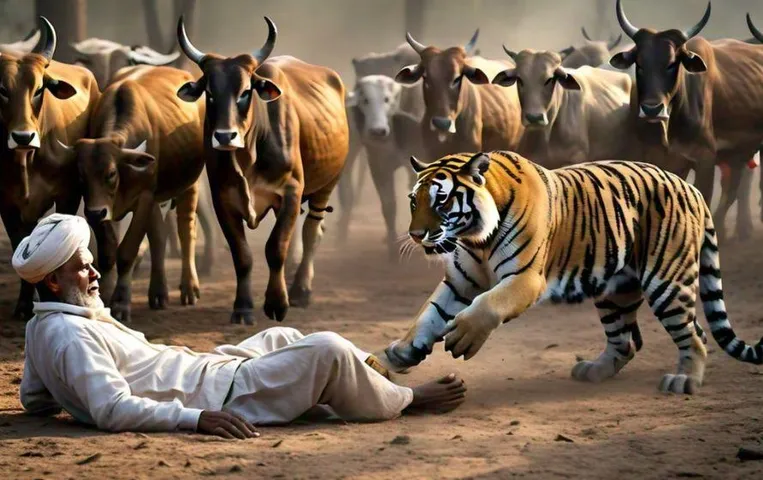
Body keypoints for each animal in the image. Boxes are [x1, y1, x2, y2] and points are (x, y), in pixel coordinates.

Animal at [376, 150, 763, 394]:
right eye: (414, 201)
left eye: (441, 200)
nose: (416, 235)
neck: (476, 239)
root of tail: (691, 187)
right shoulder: (460, 280)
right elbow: (429, 313)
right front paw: (402, 351)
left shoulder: (526, 278)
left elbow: (487, 304)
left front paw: (463, 337)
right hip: (614, 289)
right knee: (627, 341)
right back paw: (592, 371)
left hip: (666, 280)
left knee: (694, 335)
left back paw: (684, 382)